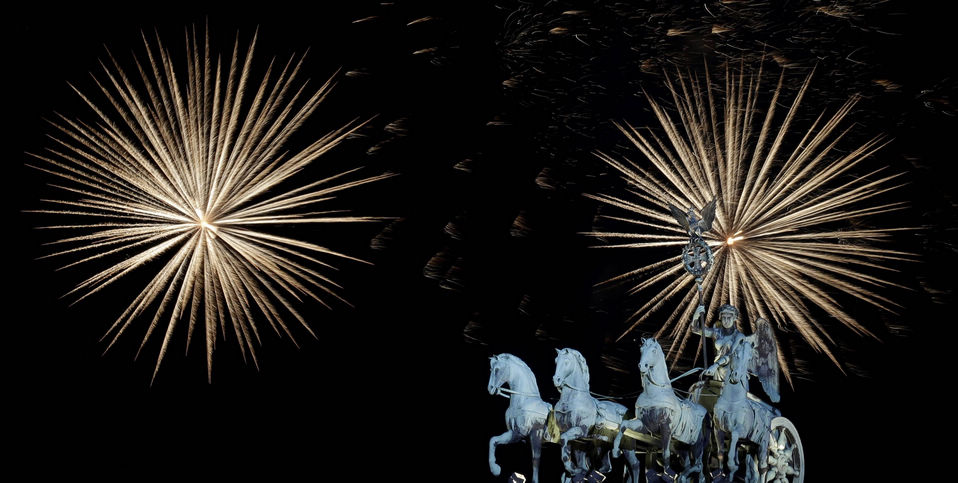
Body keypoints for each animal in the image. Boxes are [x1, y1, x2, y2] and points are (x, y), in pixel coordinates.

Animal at [492, 352, 552, 483]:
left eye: (497, 369)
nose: (491, 388)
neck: (524, 401)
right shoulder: (516, 433)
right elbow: (493, 440)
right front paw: (495, 469)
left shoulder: (535, 434)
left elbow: (535, 460)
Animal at [552, 350, 640, 482]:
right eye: (556, 360)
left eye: (566, 362)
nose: (556, 379)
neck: (573, 399)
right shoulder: (571, 437)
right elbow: (568, 455)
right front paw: (572, 471)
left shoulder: (580, 431)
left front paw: (572, 469)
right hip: (604, 445)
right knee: (608, 467)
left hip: (627, 447)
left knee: (634, 465)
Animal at [616, 340, 712, 483]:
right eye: (641, 348)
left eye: (654, 350)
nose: (642, 366)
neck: (654, 393)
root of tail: (707, 415)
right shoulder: (644, 425)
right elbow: (624, 424)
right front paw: (615, 450)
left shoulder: (666, 428)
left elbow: (665, 454)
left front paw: (667, 475)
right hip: (682, 447)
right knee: (693, 467)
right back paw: (683, 477)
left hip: (697, 445)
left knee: (699, 466)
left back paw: (683, 476)